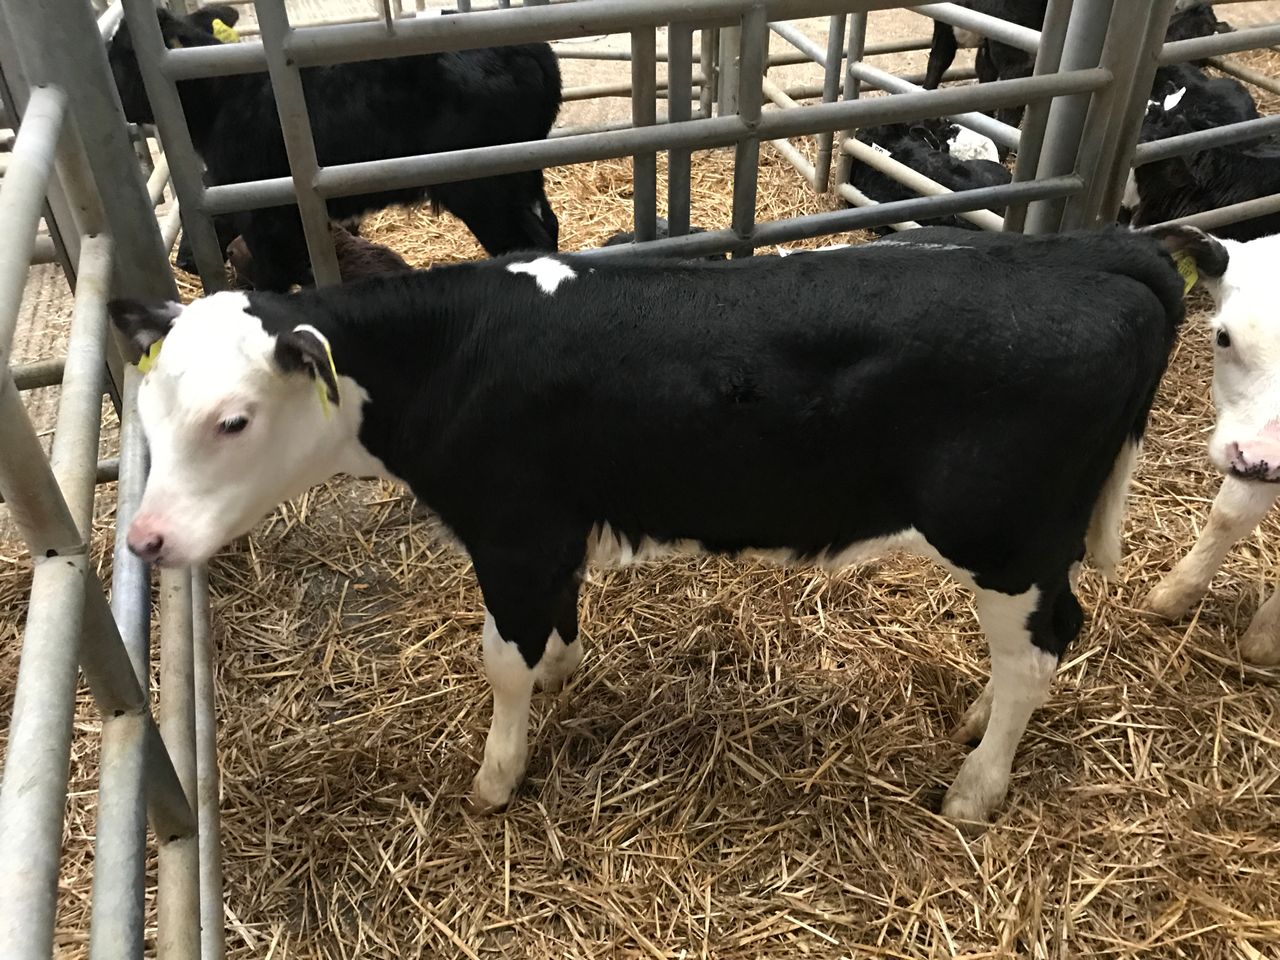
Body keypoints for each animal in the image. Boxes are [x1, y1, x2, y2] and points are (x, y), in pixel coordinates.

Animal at [107, 226, 1192, 828]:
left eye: (233, 420)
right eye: (147, 404)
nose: (144, 541)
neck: (452, 354)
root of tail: (1100, 251)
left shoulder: (513, 532)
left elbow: (501, 661)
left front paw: (497, 774)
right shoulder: (556, 530)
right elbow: (551, 628)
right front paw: (559, 673)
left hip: (1004, 538)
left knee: (1038, 651)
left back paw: (975, 786)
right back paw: (972, 723)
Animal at [108, 5, 561, 291]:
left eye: (119, 57)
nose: (183, 263)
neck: (222, 93)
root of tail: (531, 47)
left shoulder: (264, 215)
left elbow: (272, 278)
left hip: (483, 189)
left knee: (527, 242)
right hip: (523, 176)